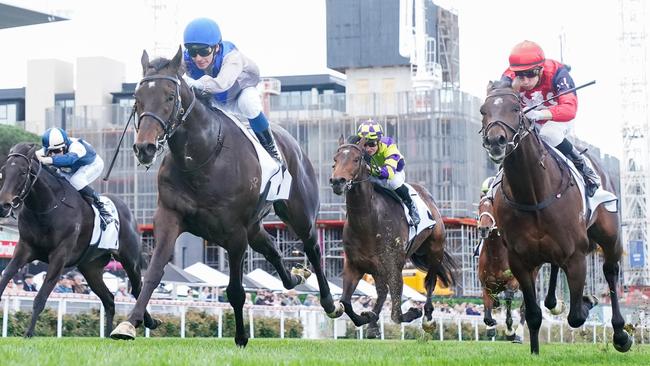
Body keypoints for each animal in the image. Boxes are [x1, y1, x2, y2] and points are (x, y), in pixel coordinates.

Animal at [0, 142, 158, 336]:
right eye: (3, 171)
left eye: (23, 172)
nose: (4, 205)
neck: (47, 207)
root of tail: (127, 210)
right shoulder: (25, 248)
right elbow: (6, 276)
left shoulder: (59, 256)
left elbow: (40, 298)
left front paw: (29, 334)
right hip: (91, 268)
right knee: (109, 299)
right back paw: (109, 334)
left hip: (130, 260)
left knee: (137, 289)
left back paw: (146, 322)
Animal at [326, 138, 454, 338]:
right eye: (335, 159)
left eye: (356, 159)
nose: (337, 181)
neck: (368, 221)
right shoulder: (355, 264)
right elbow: (346, 302)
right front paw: (366, 318)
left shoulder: (394, 265)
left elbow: (396, 314)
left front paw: (413, 312)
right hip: (379, 268)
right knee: (382, 292)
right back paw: (372, 324)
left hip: (435, 251)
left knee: (430, 282)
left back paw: (427, 318)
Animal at [478, 81, 632, 354]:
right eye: (483, 110)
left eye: (516, 108)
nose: (495, 140)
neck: (532, 194)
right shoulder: (519, 261)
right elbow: (532, 314)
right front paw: (534, 351)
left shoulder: (576, 255)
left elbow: (577, 316)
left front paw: (587, 301)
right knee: (553, 270)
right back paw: (554, 301)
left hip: (610, 235)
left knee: (610, 272)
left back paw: (620, 334)